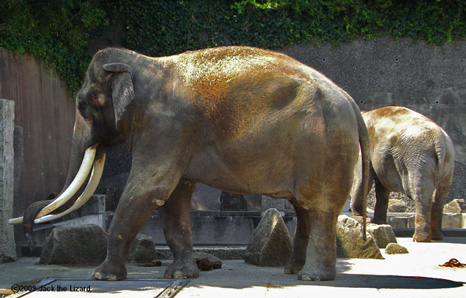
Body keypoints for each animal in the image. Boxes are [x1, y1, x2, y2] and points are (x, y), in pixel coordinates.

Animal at [9, 46, 370, 282]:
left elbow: (148, 189)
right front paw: (180, 275)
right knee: (305, 208)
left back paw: (312, 279)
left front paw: (102, 277)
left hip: (323, 148)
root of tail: (352, 103)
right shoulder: (174, 138)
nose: (28, 236)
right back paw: (292, 271)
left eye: (84, 104)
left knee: (319, 208)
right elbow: (174, 199)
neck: (144, 64)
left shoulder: (164, 128)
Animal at [352, 106, 454, 241]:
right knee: (440, 196)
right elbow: (382, 187)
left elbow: (363, 178)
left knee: (421, 193)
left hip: (418, 159)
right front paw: (379, 223)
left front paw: (360, 218)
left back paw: (419, 239)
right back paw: (436, 237)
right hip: (447, 161)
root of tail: (439, 141)